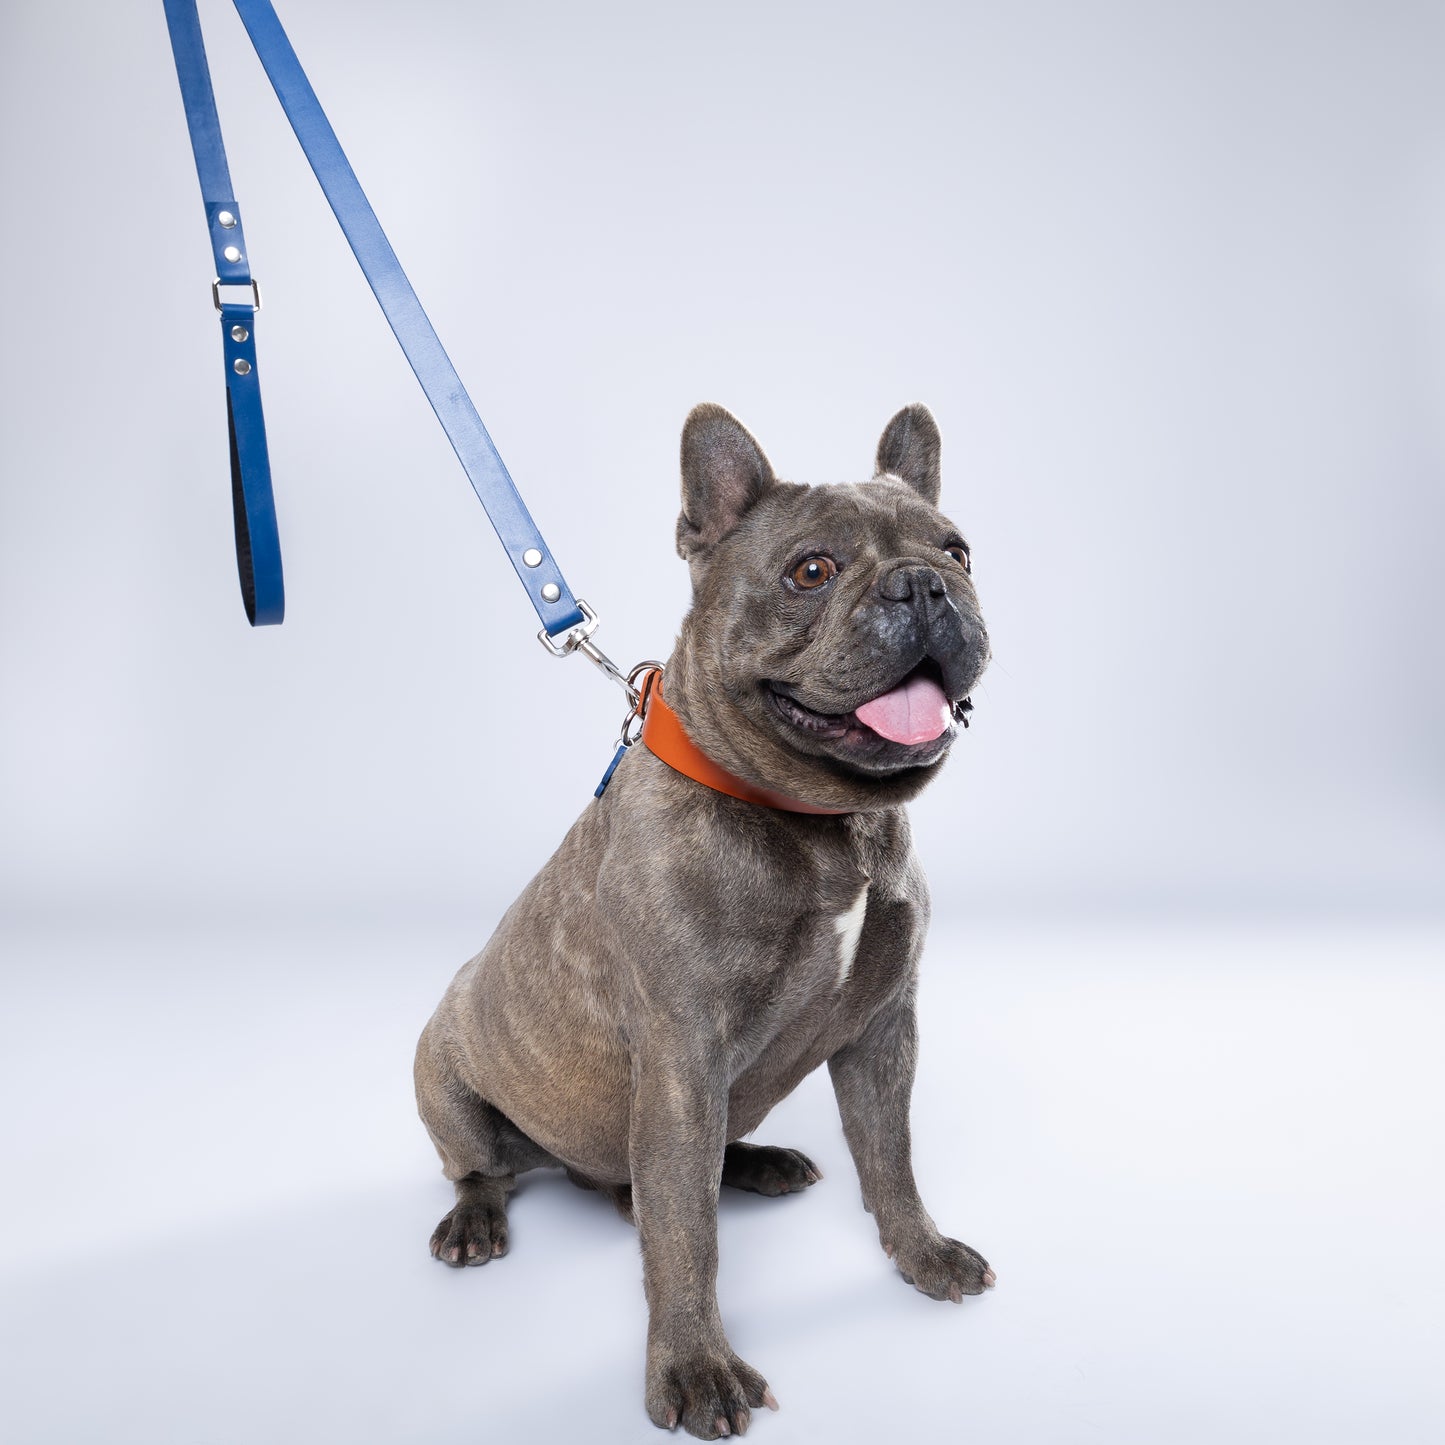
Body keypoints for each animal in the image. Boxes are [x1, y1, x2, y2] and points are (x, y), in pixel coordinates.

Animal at [413, 401, 988, 1439]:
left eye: (958, 551)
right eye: (812, 571)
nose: (924, 584)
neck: (821, 817)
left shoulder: (883, 1027)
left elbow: (889, 1155)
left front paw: (918, 1252)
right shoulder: (683, 1059)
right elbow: (685, 1235)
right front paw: (694, 1367)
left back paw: (754, 1162)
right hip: (443, 1074)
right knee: (487, 1168)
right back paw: (476, 1219)